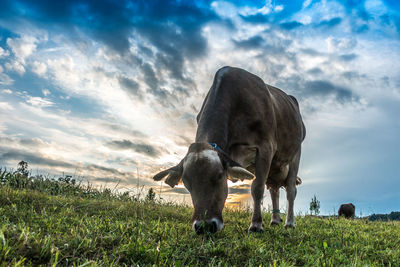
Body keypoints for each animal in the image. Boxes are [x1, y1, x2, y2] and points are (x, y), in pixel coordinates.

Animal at [153, 67, 306, 234]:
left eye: (220, 176)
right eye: (186, 182)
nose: (204, 226)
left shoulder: (266, 147)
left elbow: (257, 188)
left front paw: (256, 224)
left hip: (295, 154)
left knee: (291, 190)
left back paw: (289, 223)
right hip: (274, 168)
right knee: (274, 190)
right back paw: (275, 220)